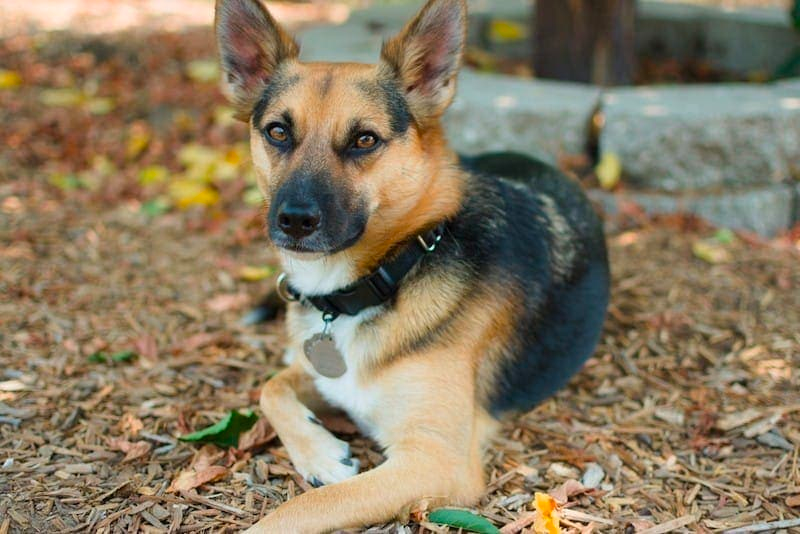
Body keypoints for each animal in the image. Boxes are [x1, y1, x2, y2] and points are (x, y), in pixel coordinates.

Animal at [216, 0, 608, 532]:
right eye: (278, 131)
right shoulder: (321, 375)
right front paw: (321, 453)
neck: (387, 273)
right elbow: (270, 388)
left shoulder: (434, 460)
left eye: (364, 140)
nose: (294, 220)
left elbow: (299, 510)